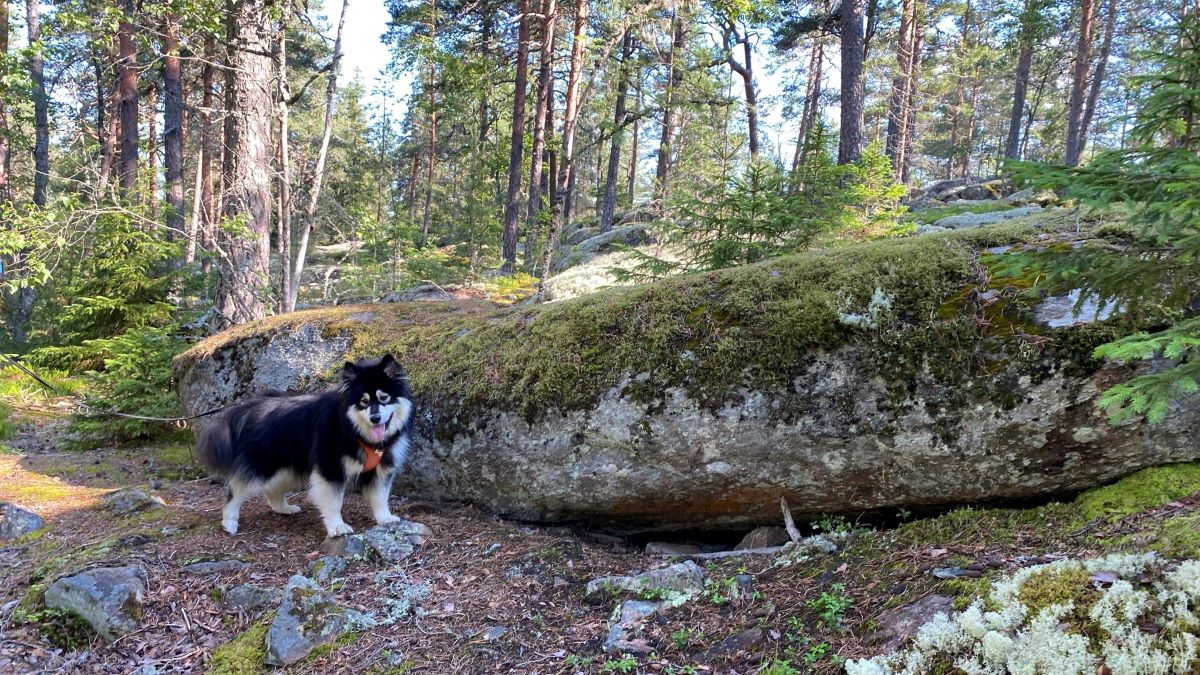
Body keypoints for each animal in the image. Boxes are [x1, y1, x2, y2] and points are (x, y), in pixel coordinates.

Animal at [199, 353, 415, 535]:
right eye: (363, 402)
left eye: (384, 397)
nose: (375, 418)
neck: (355, 431)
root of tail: (250, 407)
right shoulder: (330, 469)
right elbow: (334, 502)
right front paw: (337, 527)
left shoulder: (381, 469)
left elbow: (380, 497)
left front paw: (385, 518)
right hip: (264, 466)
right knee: (235, 491)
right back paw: (229, 522)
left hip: (289, 467)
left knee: (272, 489)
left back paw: (283, 508)